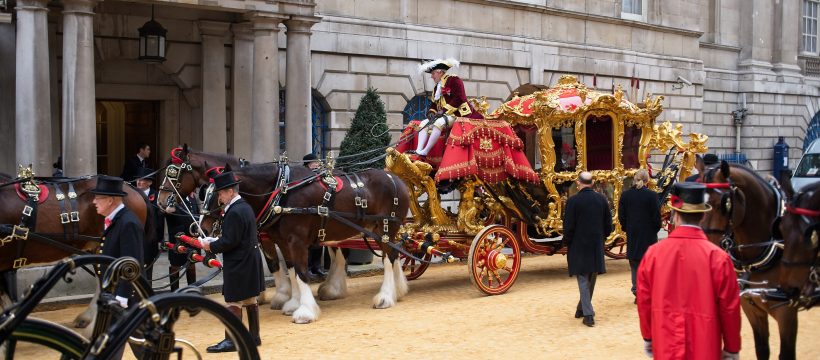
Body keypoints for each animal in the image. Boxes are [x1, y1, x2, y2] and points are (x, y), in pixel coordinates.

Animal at [159, 146, 416, 324]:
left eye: (174, 173)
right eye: (205, 192)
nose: (161, 202)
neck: (280, 192)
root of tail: (396, 179)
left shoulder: (293, 241)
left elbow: (299, 272)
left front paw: (303, 310)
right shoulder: (280, 240)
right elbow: (289, 269)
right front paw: (290, 301)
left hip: (385, 229)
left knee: (389, 258)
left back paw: (386, 296)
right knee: (378, 256)